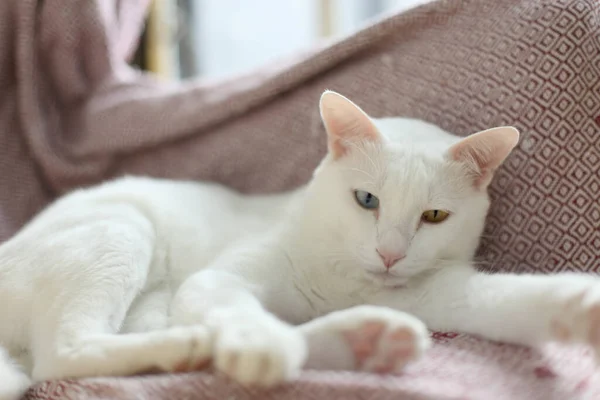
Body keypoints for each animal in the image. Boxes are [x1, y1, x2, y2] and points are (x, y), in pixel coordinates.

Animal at [1, 91, 600, 400]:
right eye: (366, 200)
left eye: (433, 216)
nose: (390, 254)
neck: (347, 280)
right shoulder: (220, 278)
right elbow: (241, 311)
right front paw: (260, 346)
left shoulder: (442, 293)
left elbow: (511, 300)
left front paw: (578, 306)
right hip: (120, 231)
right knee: (64, 354)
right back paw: (194, 346)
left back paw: (366, 341)